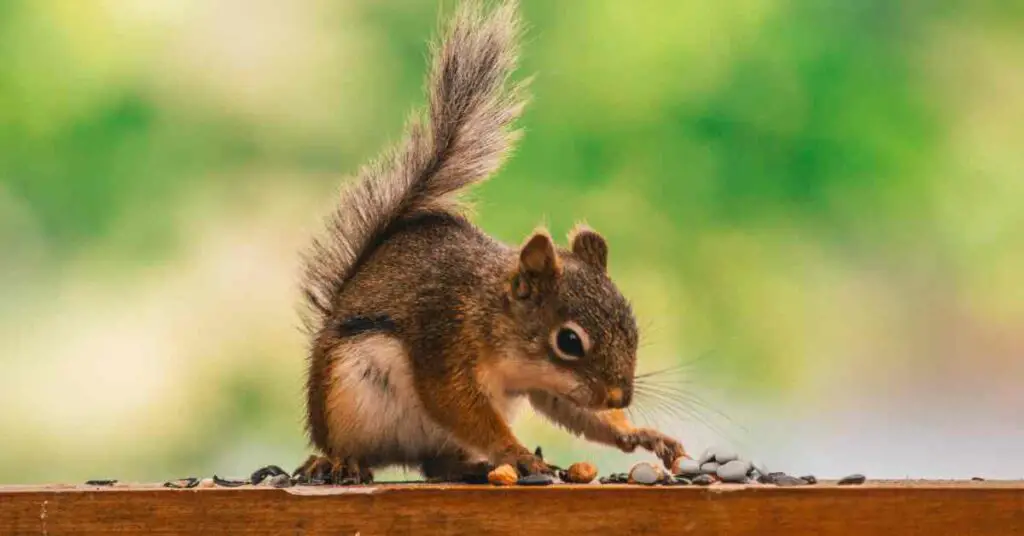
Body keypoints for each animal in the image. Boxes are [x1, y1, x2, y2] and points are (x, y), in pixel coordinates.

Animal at [294, 0, 686, 484]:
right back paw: (338, 462)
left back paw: (471, 466)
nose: (619, 398)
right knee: (352, 448)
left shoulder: (543, 385)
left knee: (436, 462)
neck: (494, 316)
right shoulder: (444, 341)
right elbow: (457, 404)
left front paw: (640, 434)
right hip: (344, 396)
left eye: (633, 329)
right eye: (569, 341)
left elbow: (574, 412)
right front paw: (516, 453)